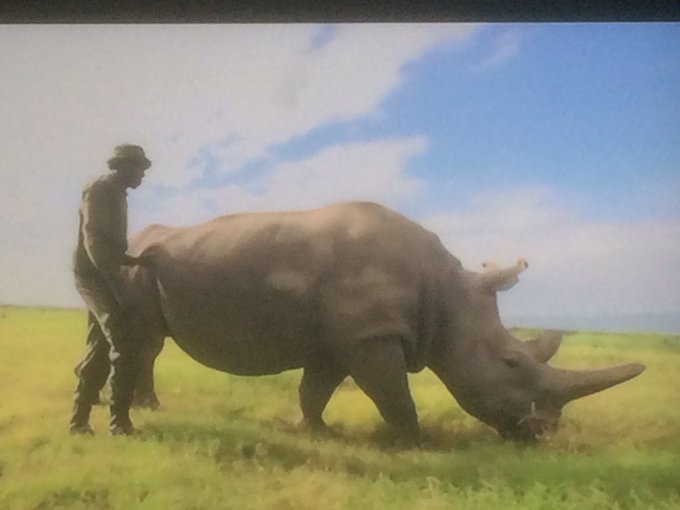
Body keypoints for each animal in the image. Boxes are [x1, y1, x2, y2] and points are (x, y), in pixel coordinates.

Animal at [124, 201, 644, 442]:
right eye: (511, 363)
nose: (543, 434)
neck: (447, 296)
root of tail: (135, 239)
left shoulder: (343, 340)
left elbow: (315, 389)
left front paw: (317, 431)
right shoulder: (371, 335)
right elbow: (393, 394)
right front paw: (420, 442)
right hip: (137, 267)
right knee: (145, 342)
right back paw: (151, 409)